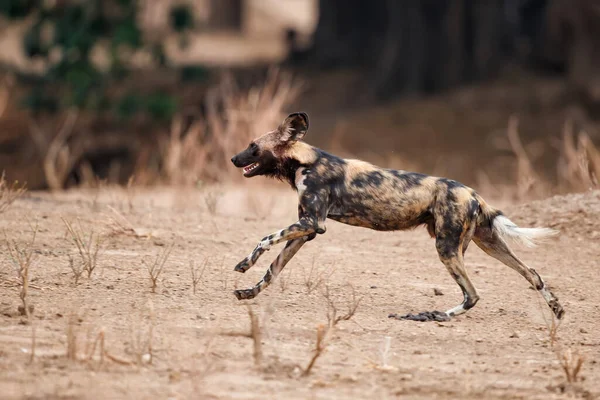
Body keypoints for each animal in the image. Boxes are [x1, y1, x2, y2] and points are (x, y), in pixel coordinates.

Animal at [229, 112, 564, 322]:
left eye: (253, 147)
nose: (233, 158)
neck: (304, 161)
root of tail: (474, 193)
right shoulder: (307, 230)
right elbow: (273, 271)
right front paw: (249, 292)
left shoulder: (312, 224)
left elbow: (264, 239)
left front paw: (244, 264)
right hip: (486, 244)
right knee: (532, 274)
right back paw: (557, 310)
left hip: (446, 248)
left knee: (473, 294)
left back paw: (433, 315)